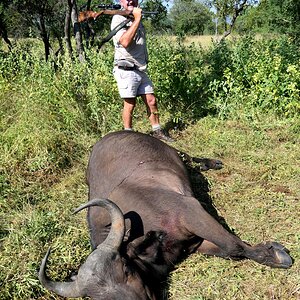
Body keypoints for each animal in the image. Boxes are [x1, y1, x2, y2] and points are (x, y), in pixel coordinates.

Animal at [38, 131, 292, 300]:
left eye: (126, 269)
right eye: (96, 299)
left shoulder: (190, 211)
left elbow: (234, 246)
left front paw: (276, 255)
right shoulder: (192, 243)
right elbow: (229, 250)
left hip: (174, 153)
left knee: (187, 155)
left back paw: (210, 162)